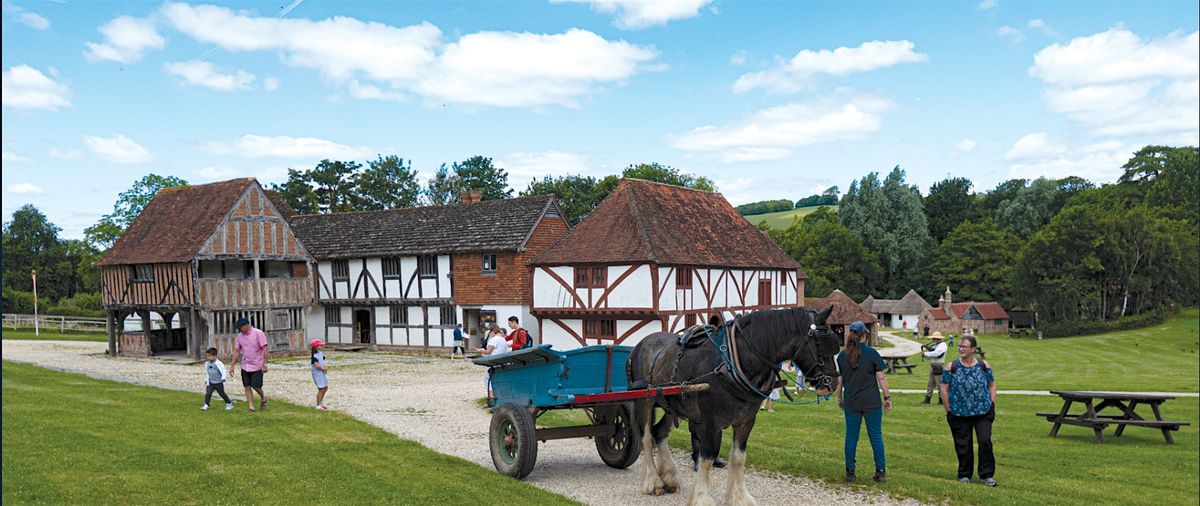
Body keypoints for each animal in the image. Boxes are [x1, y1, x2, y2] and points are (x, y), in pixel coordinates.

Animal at [624, 306, 840, 503]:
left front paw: (739, 498)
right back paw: (654, 481)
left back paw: (669, 477)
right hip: (645, 400)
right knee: (646, 437)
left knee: (660, 432)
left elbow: (738, 457)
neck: (732, 363)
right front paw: (702, 498)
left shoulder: (746, 420)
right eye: (822, 345)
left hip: (674, 405)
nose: (833, 384)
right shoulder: (710, 421)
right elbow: (707, 458)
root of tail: (639, 345)